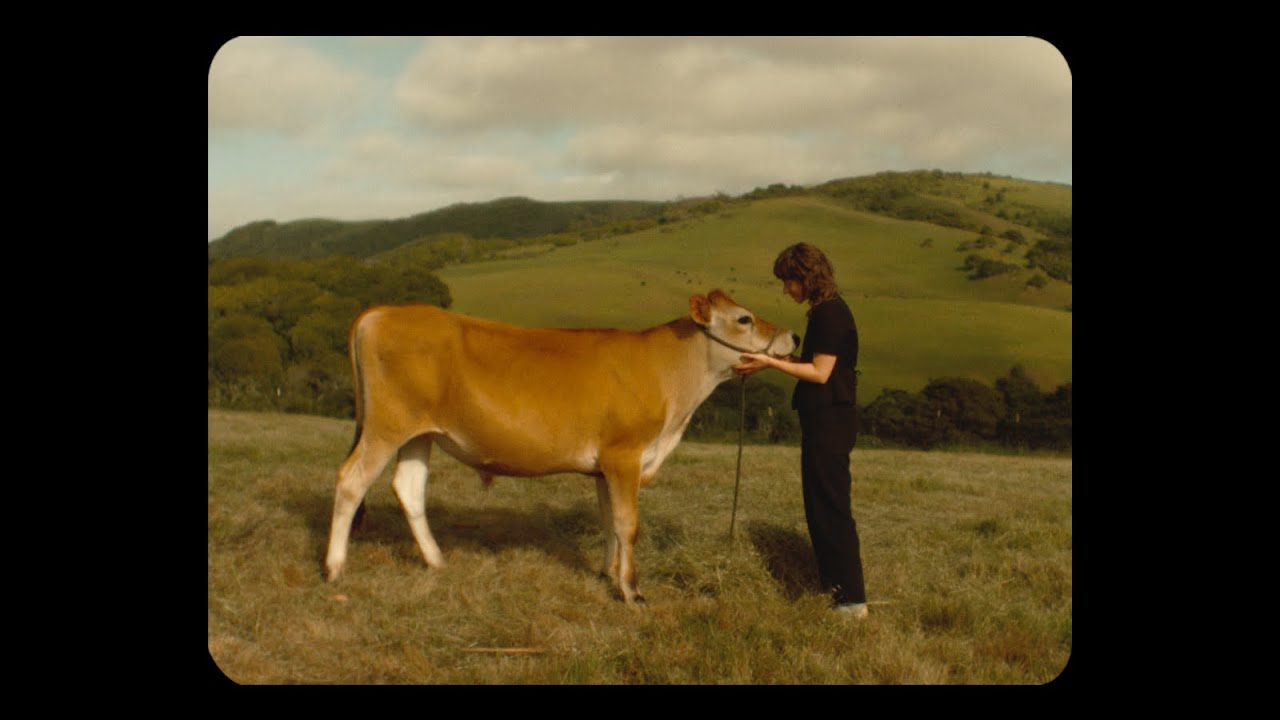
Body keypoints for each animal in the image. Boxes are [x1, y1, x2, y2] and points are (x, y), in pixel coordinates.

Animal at [325, 288, 793, 602]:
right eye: (744, 318)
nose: (793, 337)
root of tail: (383, 311)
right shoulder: (625, 455)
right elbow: (628, 524)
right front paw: (632, 591)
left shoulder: (606, 465)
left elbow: (609, 521)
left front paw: (608, 574)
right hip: (386, 425)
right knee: (351, 480)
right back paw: (334, 567)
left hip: (420, 432)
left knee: (408, 488)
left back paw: (437, 560)